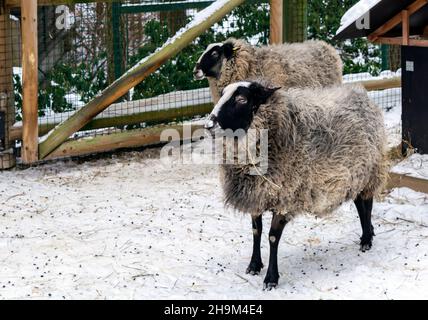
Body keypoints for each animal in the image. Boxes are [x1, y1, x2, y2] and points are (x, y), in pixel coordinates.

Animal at [205, 80, 392, 290]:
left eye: (242, 99)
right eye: (222, 94)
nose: (209, 125)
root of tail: (361, 94)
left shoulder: (286, 197)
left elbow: (272, 237)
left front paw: (271, 278)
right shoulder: (258, 195)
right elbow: (256, 231)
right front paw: (254, 265)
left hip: (370, 171)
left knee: (367, 204)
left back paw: (367, 239)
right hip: (355, 176)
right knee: (360, 205)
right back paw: (368, 234)